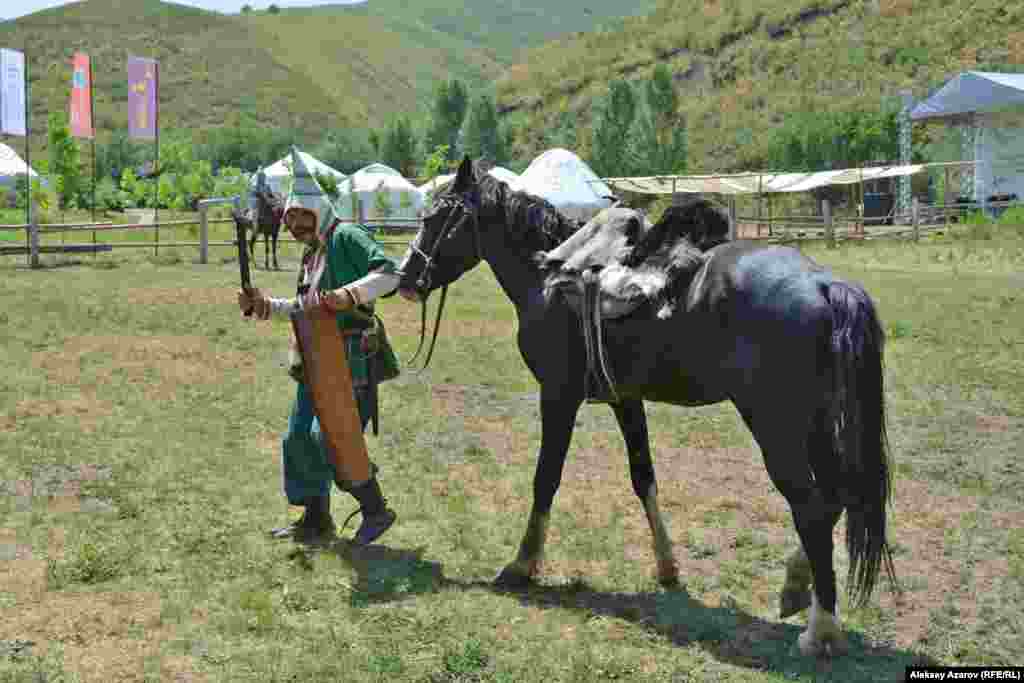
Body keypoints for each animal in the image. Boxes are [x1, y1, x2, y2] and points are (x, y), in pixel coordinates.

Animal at [395, 157, 892, 655]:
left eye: (436, 217)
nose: (406, 280)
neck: (548, 277)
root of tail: (825, 284)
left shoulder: (558, 396)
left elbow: (546, 479)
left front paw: (523, 564)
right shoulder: (625, 399)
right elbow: (643, 478)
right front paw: (667, 568)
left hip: (776, 427)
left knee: (811, 508)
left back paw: (819, 629)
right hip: (817, 424)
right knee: (835, 498)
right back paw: (796, 588)